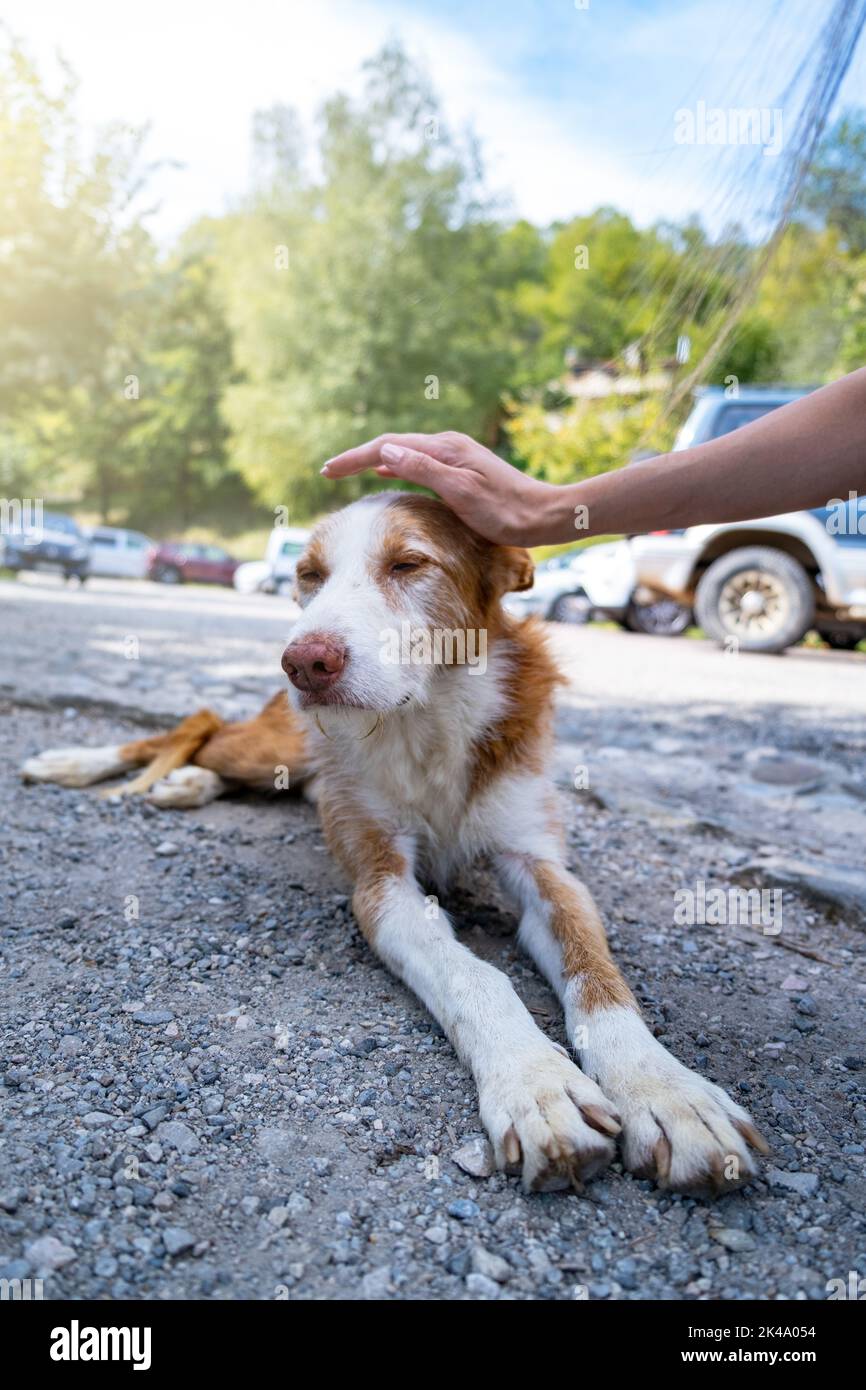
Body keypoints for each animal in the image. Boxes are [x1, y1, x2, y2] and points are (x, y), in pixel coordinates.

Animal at [22, 492, 767, 1195]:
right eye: (310, 576)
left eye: (408, 564)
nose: (303, 662)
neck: (427, 718)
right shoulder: (381, 882)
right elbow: (476, 976)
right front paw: (535, 1083)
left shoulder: (542, 864)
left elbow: (600, 979)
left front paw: (666, 1093)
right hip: (275, 743)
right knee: (195, 725)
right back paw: (77, 762)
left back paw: (186, 783)